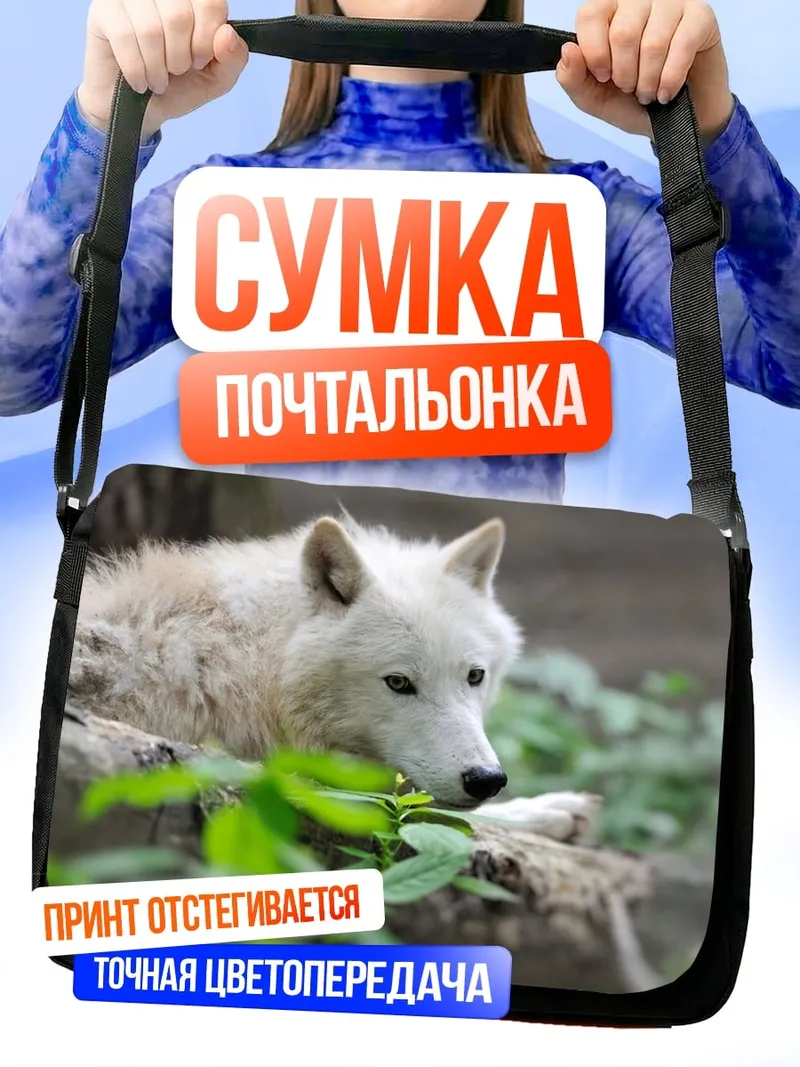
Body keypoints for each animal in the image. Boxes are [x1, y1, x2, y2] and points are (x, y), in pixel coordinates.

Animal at [68, 513, 600, 839]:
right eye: (399, 683)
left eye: (474, 676)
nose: (487, 780)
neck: (241, 664)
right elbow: (429, 813)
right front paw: (542, 812)